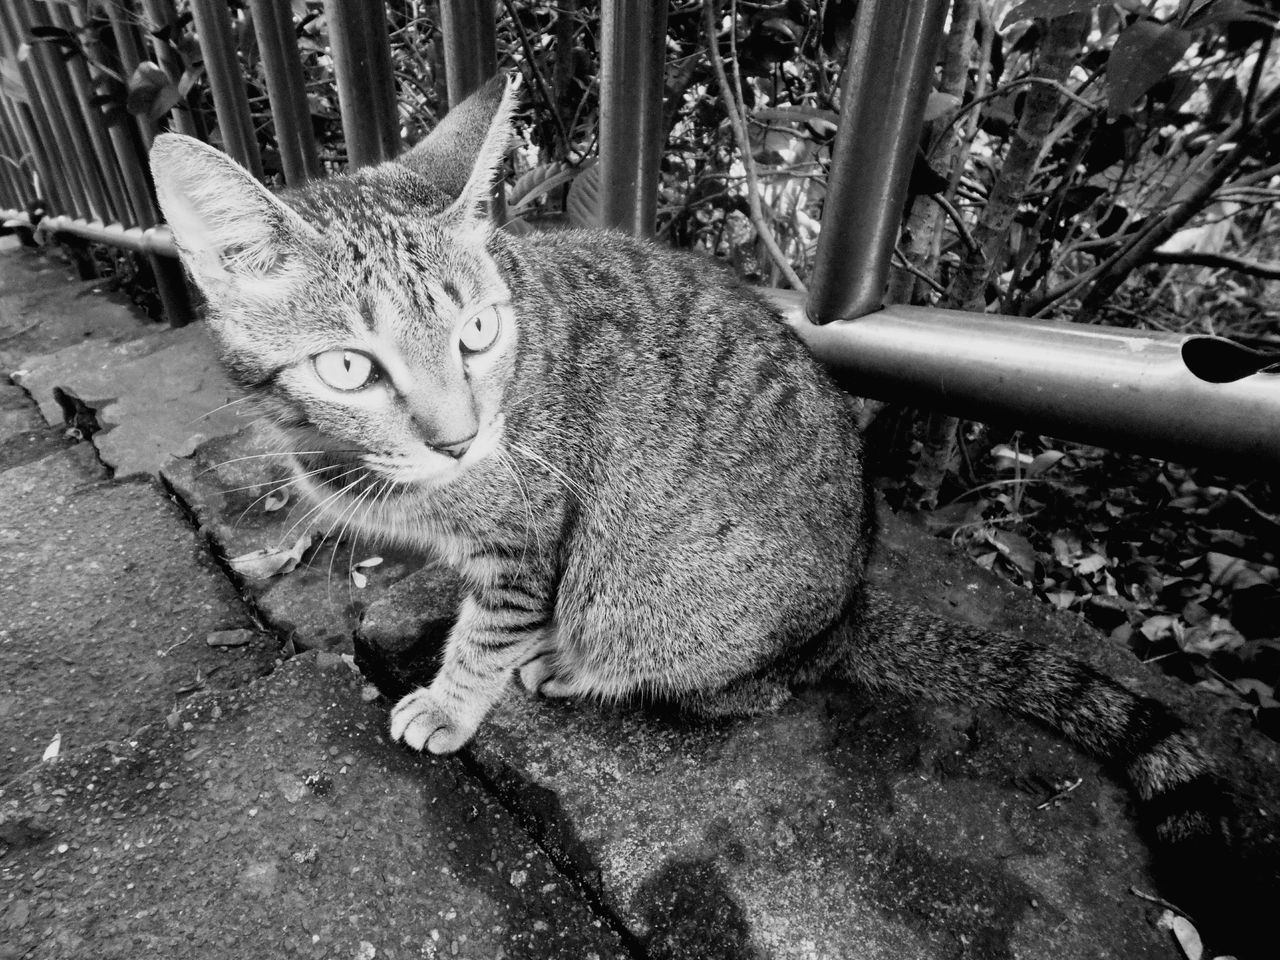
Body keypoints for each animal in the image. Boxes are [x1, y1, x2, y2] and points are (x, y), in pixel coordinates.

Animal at [147, 75, 1249, 947]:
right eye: (348, 367)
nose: (460, 439)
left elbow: (487, 631)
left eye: (476, 333)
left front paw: (454, 699)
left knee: (744, 684)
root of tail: (850, 602)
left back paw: (575, 664)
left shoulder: (531, 535)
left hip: (661, 604)